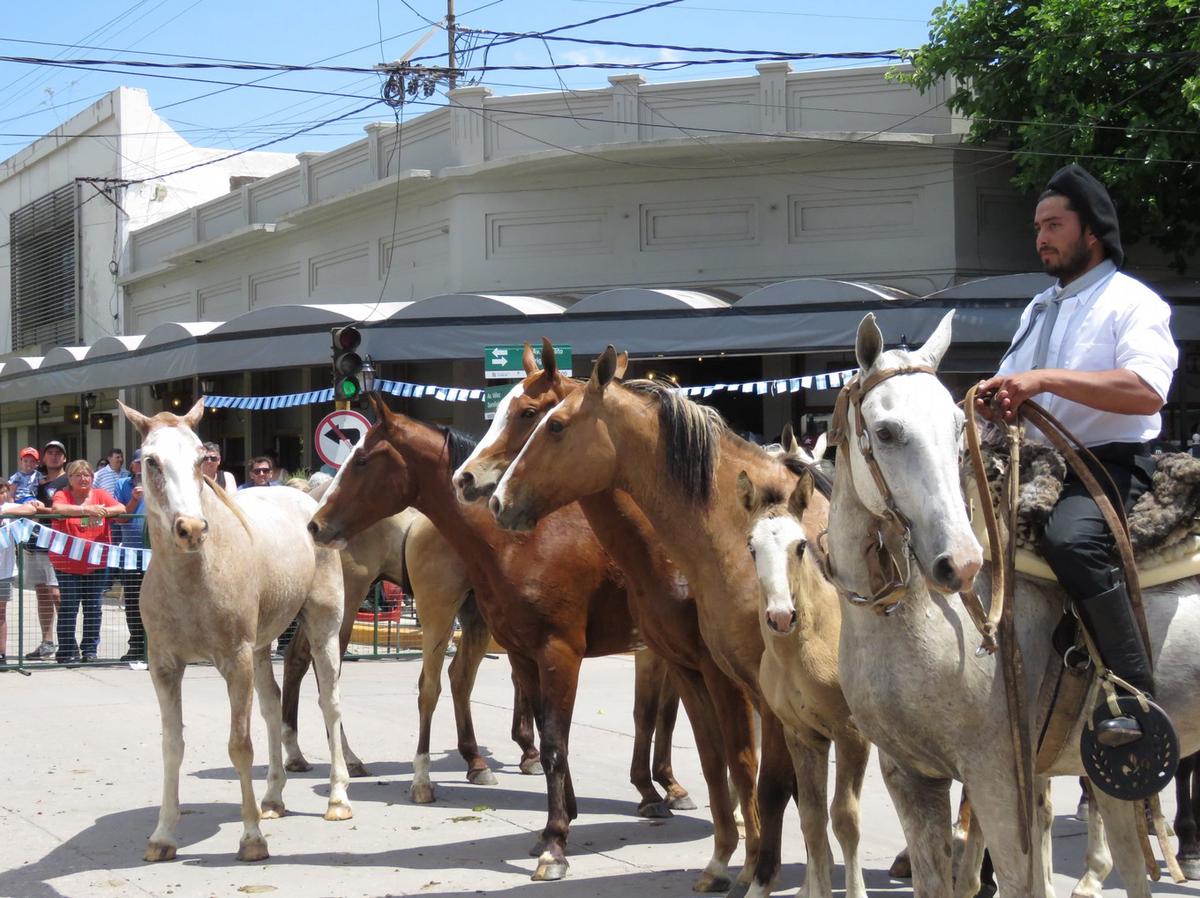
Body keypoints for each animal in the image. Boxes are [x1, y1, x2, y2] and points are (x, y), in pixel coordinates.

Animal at [118, 400, 350, 864]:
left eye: (200, 458)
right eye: (150, 461)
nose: (190, 528)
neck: (196, 575)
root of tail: (307, 499)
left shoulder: (235, 662)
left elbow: (240, 745)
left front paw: (252, 839)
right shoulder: (164, 667)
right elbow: (172, 746)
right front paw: (163, 836)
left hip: (323, 627)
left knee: (329, 703)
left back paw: (337, 799)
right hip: (262, 647)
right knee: (273, 706)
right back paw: (273, 799)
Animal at [482, 348, 859, 897]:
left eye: (549, 422)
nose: (494, 498)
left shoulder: (761, 691)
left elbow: (764, 779)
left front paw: (758, 872)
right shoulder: (703, 674)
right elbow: (719, 764)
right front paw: (726, 862)